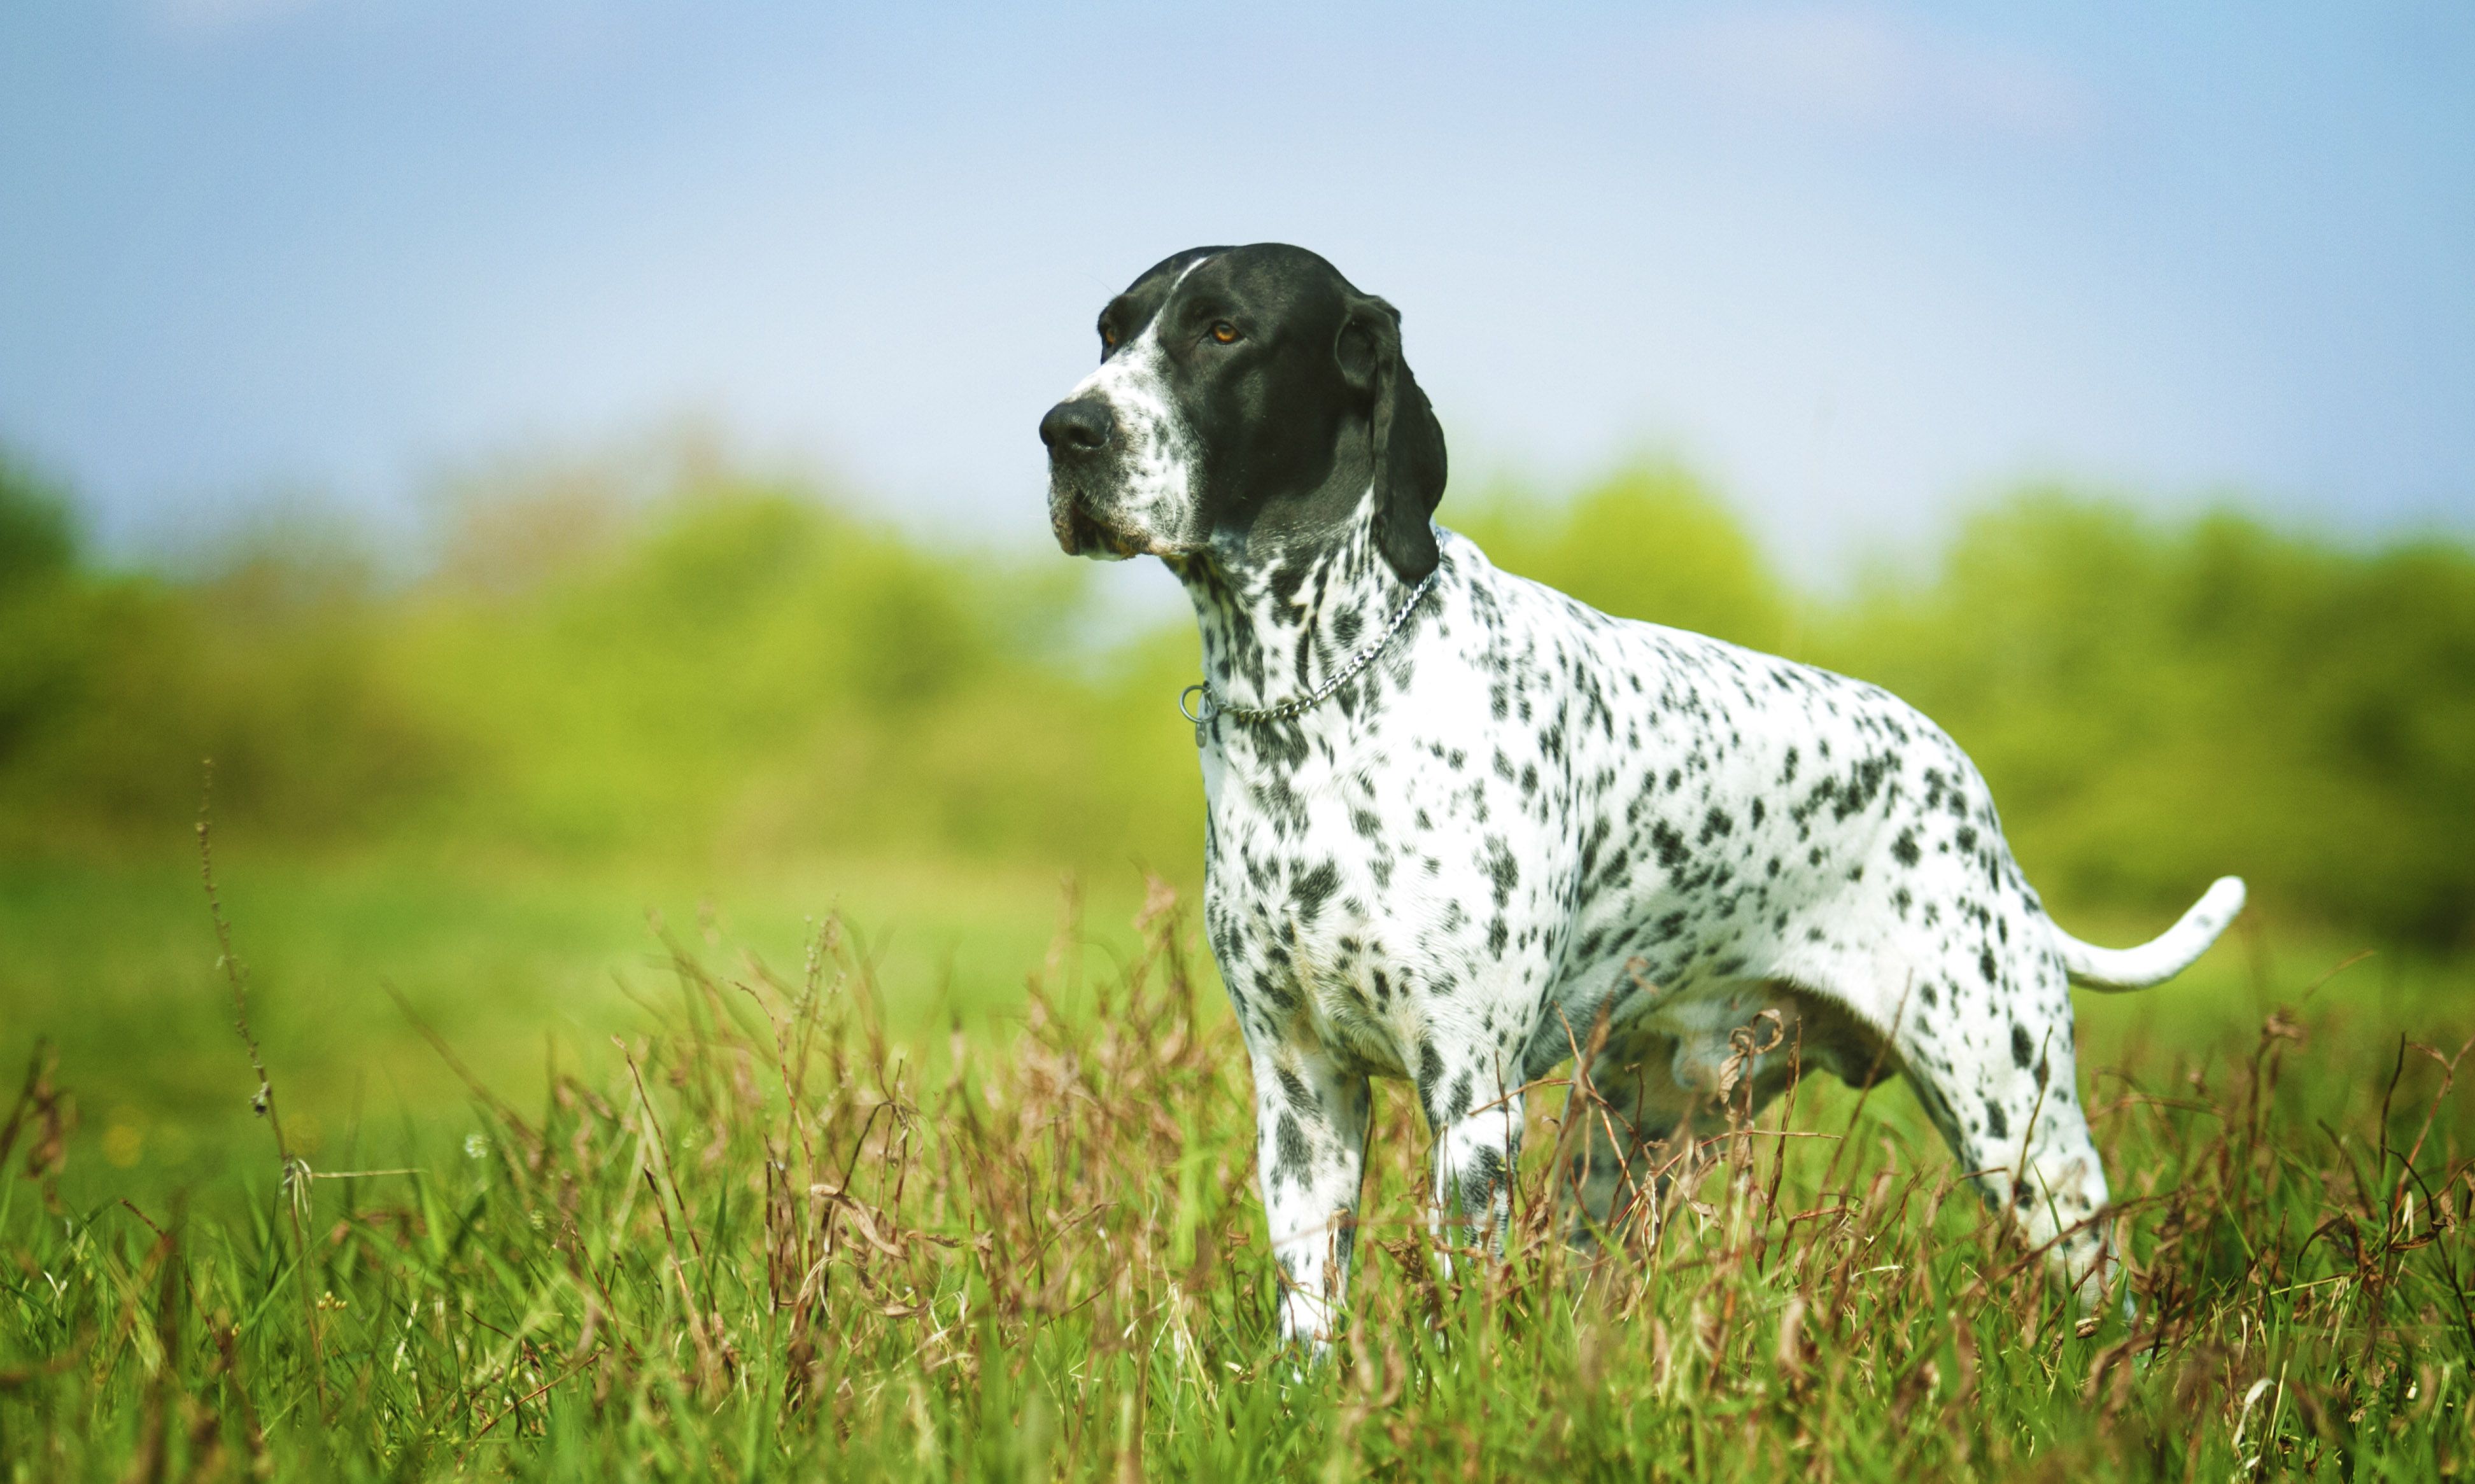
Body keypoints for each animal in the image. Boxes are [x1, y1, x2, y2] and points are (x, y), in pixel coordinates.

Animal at [1034, 243, 2257, 1345]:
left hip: (2021, 1136)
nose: (1065, 430)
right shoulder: (1299, 1092)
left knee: (2107, 1302)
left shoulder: (1469, 1096)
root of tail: (1971, 798)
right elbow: (1307, 1317)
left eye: (1222, 332)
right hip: (1632, 1149)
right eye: (1108, 331)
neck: (1316, 702)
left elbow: (1454, 1310)